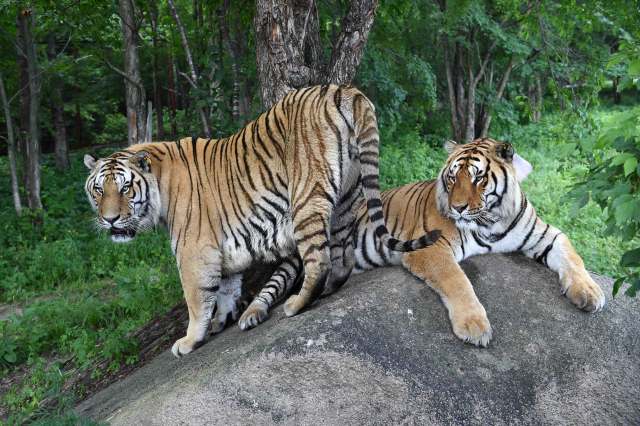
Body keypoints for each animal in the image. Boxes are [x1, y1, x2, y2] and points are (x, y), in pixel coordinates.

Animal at [84, 85, 440, 358]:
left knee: (319, 259)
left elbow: (197, 298)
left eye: (125, 188)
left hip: (305, 198)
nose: (110, 220)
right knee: (342, 256)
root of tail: (342, 89)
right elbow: (226, 288)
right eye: (99, 190)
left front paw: (189, 340)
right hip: (347, 195)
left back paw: (296, 304)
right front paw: (221, 322)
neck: (159, 186)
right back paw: (328, 290)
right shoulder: (221, 250)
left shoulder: (193, 250)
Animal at [239, 136, 604, 346]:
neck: (491, 219)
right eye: (452, 177)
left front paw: (590, 293)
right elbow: (457, 281)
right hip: (296, 258)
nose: (457, 207)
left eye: (478, 178)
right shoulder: (431, 248)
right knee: (272, 287)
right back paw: (252, 315)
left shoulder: (545, 234)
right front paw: (474, 326)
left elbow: (573, 256)